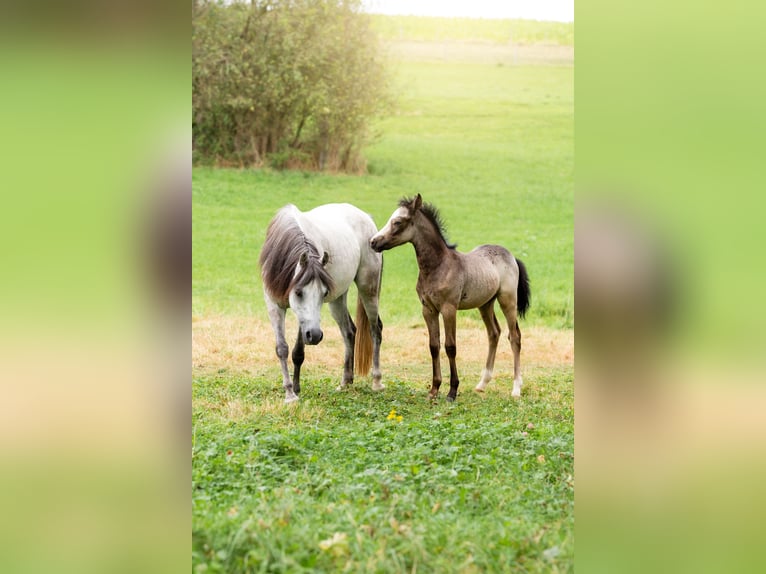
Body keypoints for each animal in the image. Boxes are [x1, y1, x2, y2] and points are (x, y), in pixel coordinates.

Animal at [370, 196, 528, 402]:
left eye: (397, 222)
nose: (373, 242)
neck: (438, 266)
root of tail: (511, 256)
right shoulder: (428, 310)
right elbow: (434, 346)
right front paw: (434, 390)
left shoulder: (448, 309)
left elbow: (450, 346)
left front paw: (452, 391)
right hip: (485, 304)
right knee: (494, 333)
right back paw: (482, 384)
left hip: (507, 300)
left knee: (514, 336)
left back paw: (516, 388)